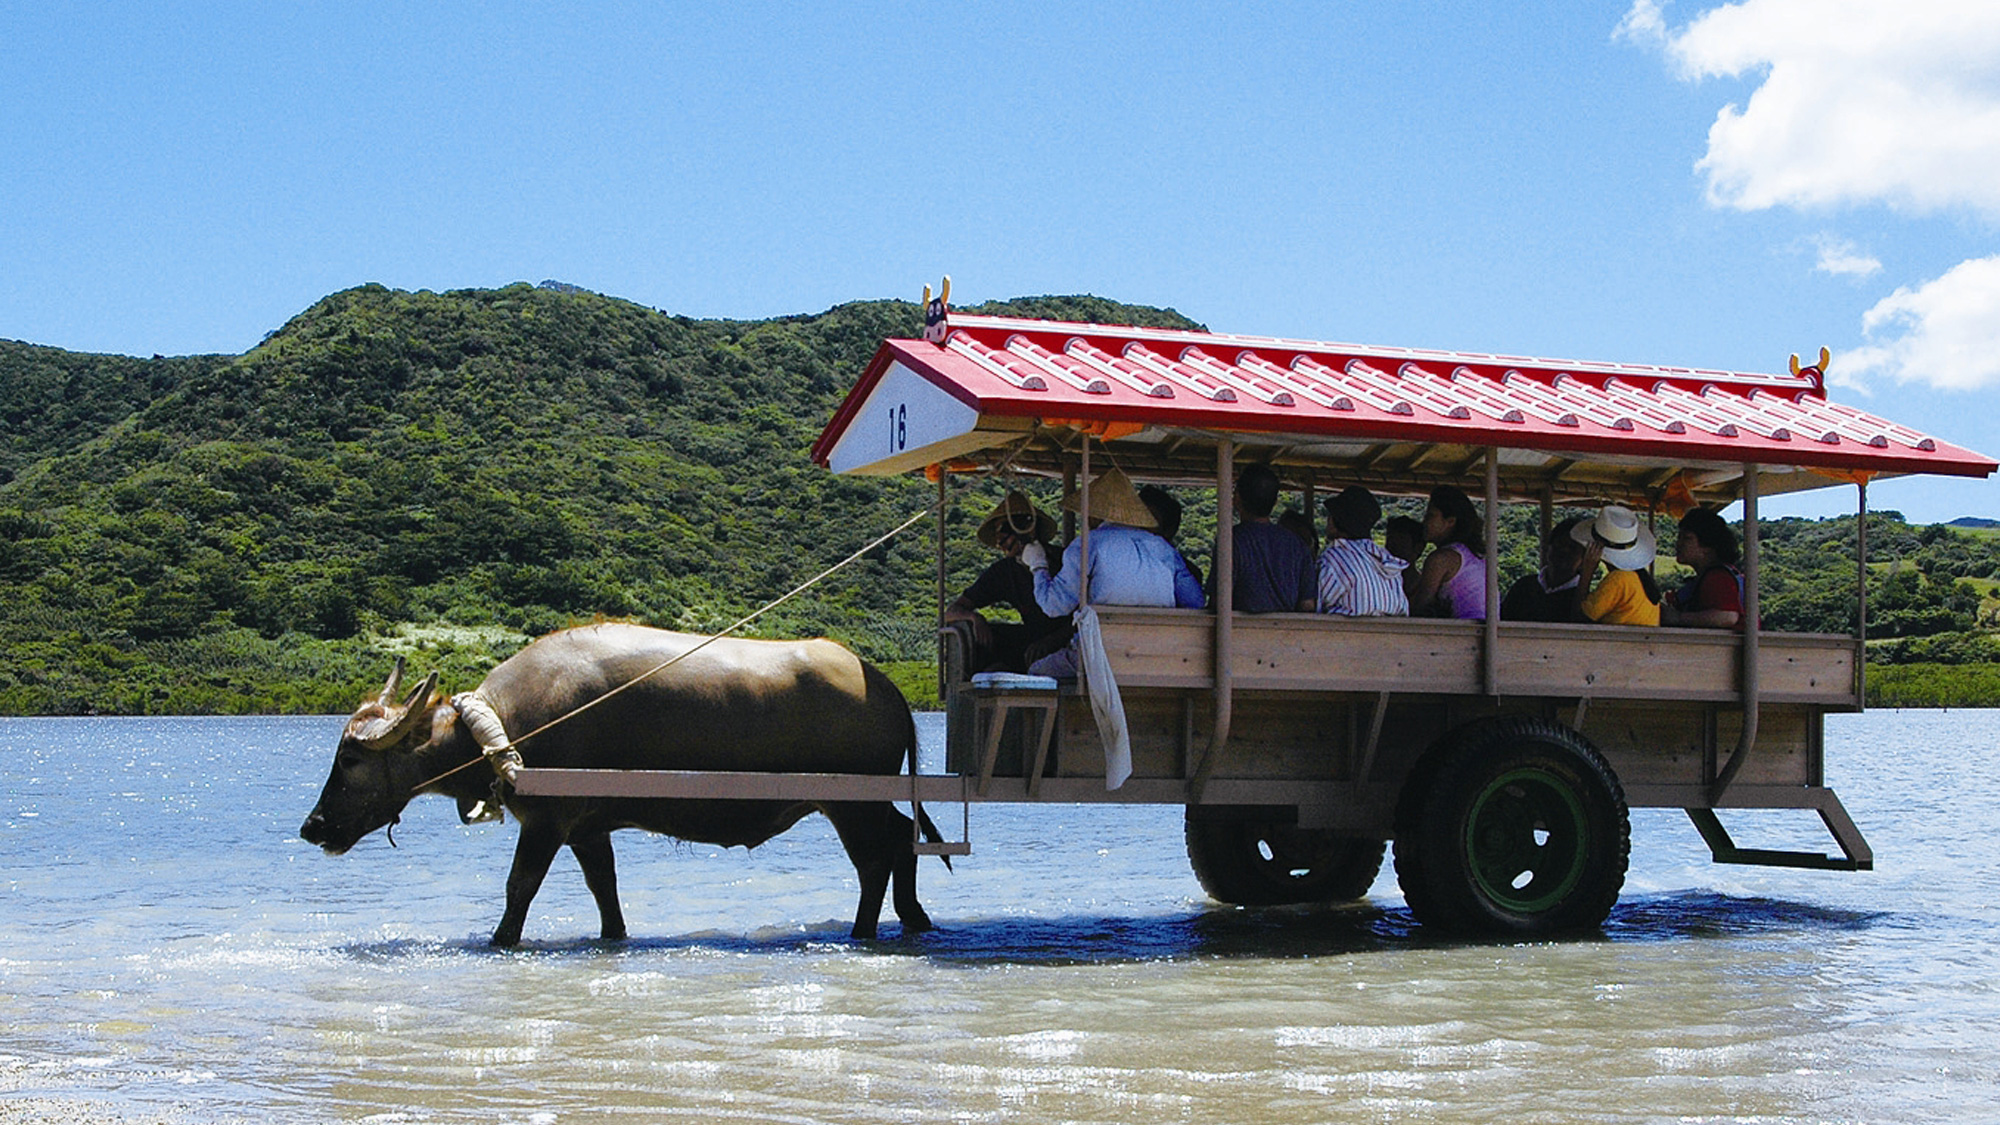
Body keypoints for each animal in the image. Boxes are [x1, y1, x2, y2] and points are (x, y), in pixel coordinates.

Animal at [300, 624, 940, 940]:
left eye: (350, 758)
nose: (313, 827)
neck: (506, 725)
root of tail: (890, 691)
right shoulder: (587, 829)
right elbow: (603, 891)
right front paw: (614, 934)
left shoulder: (547, 822)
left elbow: (519, 888)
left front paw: (500, 938)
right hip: (865, 802)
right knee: (901, 838)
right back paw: (912, 916)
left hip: (849, 804)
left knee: (875, 859)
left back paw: (863, 931)